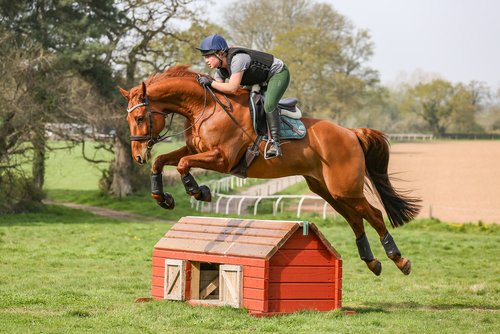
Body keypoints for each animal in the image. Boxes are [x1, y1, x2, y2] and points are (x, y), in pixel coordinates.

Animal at [120, 64, 422, 276]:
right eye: (128, 118)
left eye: (140, 117)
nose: (137, 155)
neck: (204, 108)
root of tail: (350, 132)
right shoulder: (195, 150)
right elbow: (163, 161)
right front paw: (163, 198)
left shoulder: (222, 159)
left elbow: (183, 165)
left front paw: (198, 191)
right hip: (328, 190)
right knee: (355, 219)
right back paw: (372, 262)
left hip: (344, 188)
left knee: (374, 215)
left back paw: (400, 260)